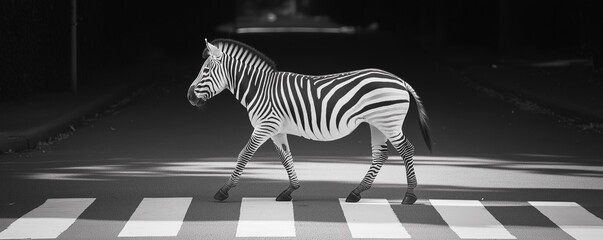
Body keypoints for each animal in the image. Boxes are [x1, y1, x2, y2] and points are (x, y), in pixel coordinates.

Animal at [186, 39, 432, 204]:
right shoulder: (276, 129)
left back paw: (409, 195)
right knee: (380, 154)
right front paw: (290, 189)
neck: (259, 89)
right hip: (377, 123)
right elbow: (285, 158)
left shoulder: (264, 126)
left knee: (407, 149)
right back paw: (356, 192)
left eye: (205, 71)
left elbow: (244, 155)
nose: (189, 97)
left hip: (389, 122)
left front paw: (223, 190)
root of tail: (399, 79)